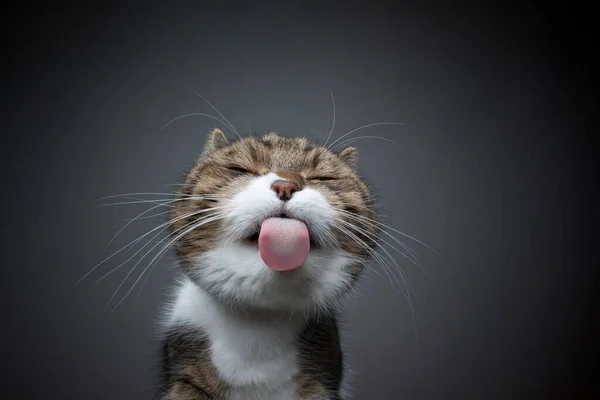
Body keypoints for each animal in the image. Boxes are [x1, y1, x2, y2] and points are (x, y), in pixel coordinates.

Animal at [157, 130, 378, 398]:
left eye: (323, 177)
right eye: (240, 169)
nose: (285, 185)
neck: (259, 320)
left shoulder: (319, 380)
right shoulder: (186, 370)